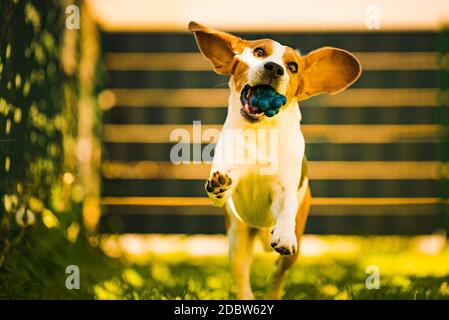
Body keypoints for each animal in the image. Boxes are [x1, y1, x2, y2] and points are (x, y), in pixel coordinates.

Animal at [188, 21, 360, 298]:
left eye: (293, 67)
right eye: (258, 52)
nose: (274, 68)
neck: (261, 132)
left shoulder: (285, 190)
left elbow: (286, 206)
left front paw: (284, 234)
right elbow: (226, 182)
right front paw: (219, 185)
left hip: (295, 246)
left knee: (278, 273)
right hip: (236, 240)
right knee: (242, 274)